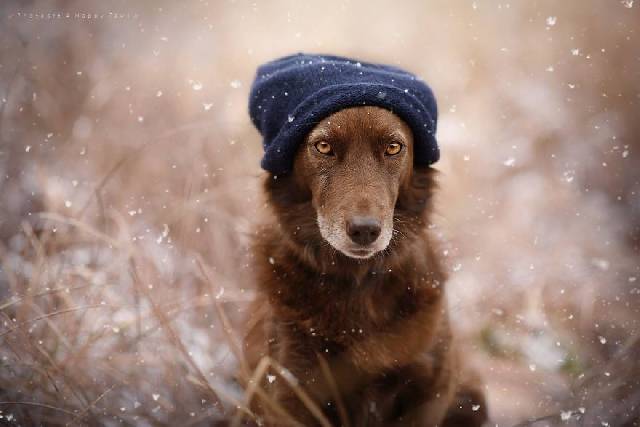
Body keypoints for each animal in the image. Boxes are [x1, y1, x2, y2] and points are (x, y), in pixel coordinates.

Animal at [242, 104, 488, 427]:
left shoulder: (431, 386)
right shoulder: (289, 389)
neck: (358, 282)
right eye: (323, 146)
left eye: (393, 147)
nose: (364, 230)